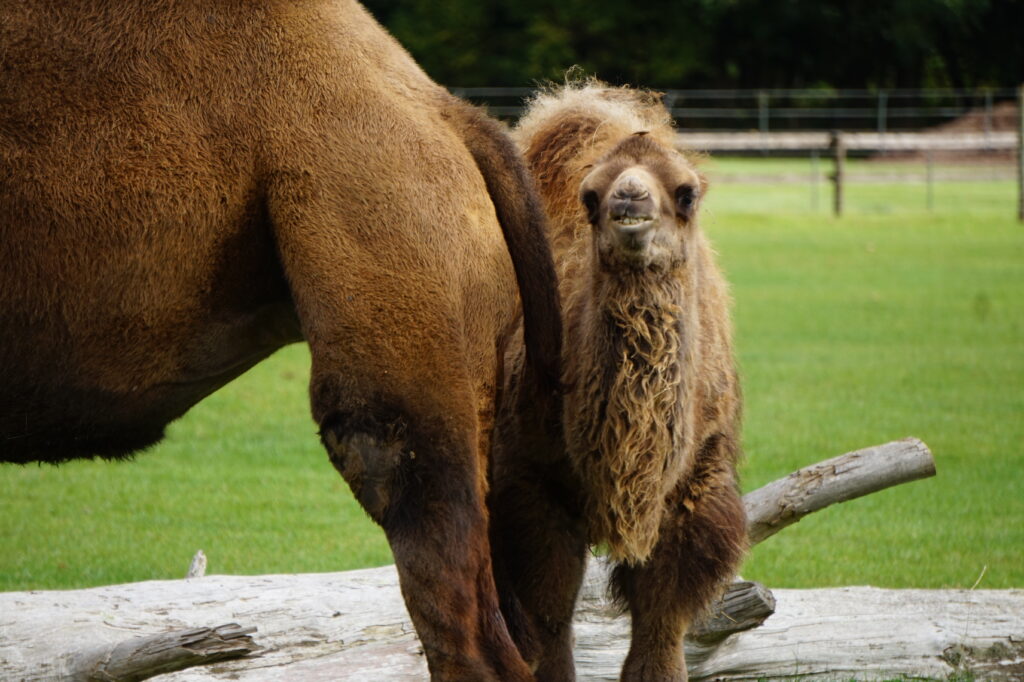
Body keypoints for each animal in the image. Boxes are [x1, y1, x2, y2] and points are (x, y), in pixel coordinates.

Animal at [487, 82, 745, 675]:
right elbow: (549, 611)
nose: (629, 199)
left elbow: (662, 614)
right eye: (590, 195)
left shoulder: (696, 486)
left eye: (686, 193)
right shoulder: (531, 481)